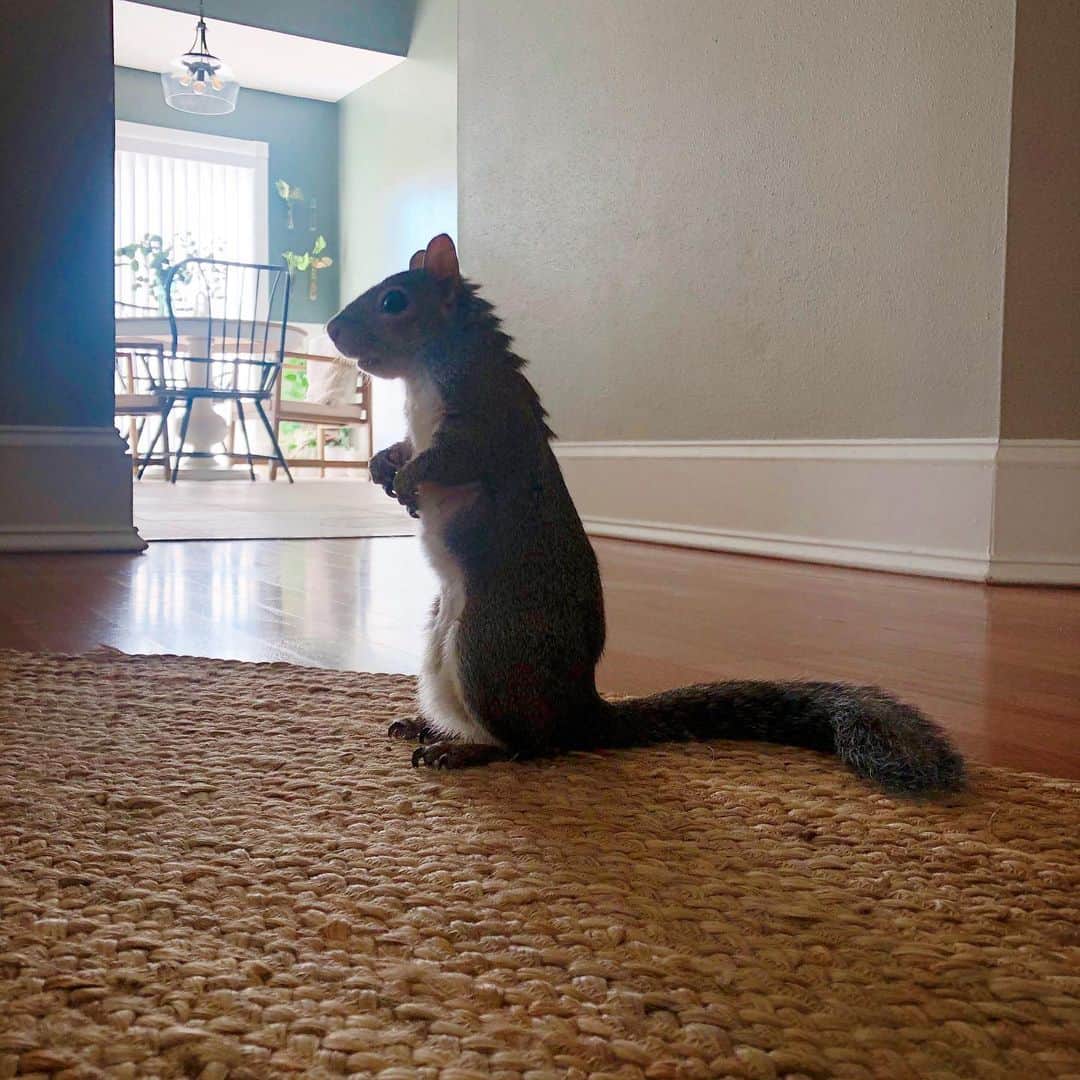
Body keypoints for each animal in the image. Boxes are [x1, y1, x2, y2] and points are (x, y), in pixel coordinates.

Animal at [326, 234, 964, 793]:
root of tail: (580, 709)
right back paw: (429, 726)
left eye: (393, 300)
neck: (428, 367)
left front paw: (409, 477)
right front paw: (384, 466)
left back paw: (465, 750)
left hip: (488, 646)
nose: (331, 328)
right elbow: (407, 448)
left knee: (532, 744)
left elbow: (454, 455)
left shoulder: (487, 415)